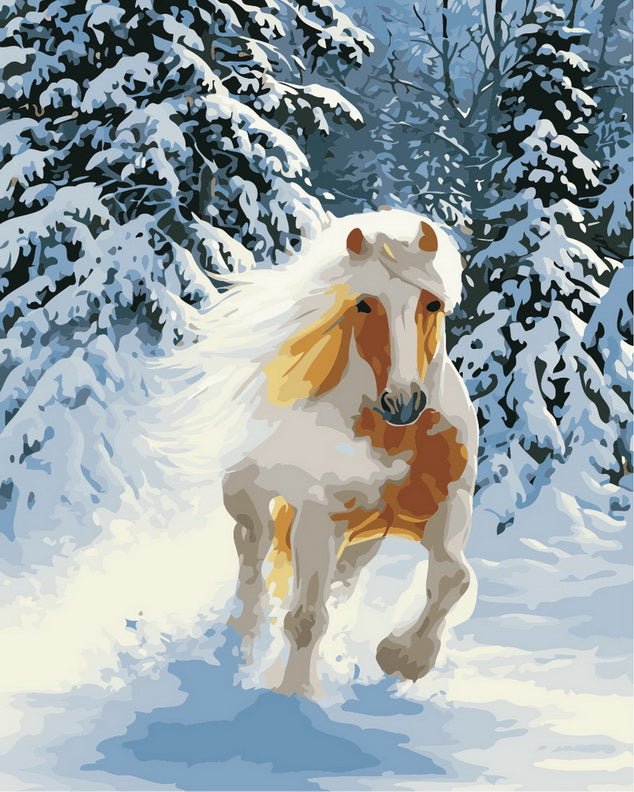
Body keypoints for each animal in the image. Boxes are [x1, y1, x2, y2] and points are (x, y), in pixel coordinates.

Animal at [215, 208, 478, 698]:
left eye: (432, 304)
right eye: (364, 304)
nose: (403, 401)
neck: (396, 439)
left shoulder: (450, 502)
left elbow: (453, 578)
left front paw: (404, 658)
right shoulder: (319, 516)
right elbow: (305, 619)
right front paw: (293, 698)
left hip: (364, 539)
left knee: (336, 581)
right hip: (250, 498)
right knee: (253, 555)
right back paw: (237, 644)